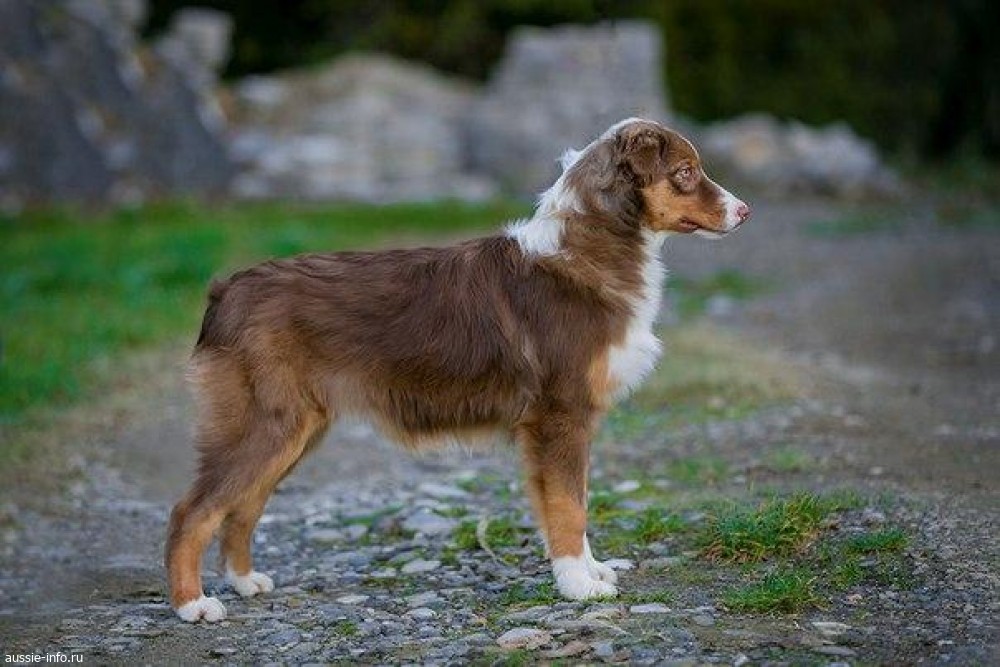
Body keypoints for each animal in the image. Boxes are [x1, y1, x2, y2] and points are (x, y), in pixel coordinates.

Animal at [166, 118, 750, 622]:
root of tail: (226, 291)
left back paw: (245, 581)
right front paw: (577, 587)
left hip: (295, 431)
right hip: (266, 425)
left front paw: (590, 571)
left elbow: (570, 504)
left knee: (242, 508)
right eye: (685, 172)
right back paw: (192, 605)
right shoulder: (560, 417)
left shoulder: (559, 425)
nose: (745, 211)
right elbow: (569, 506)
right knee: (191, 511)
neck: (592, 245)